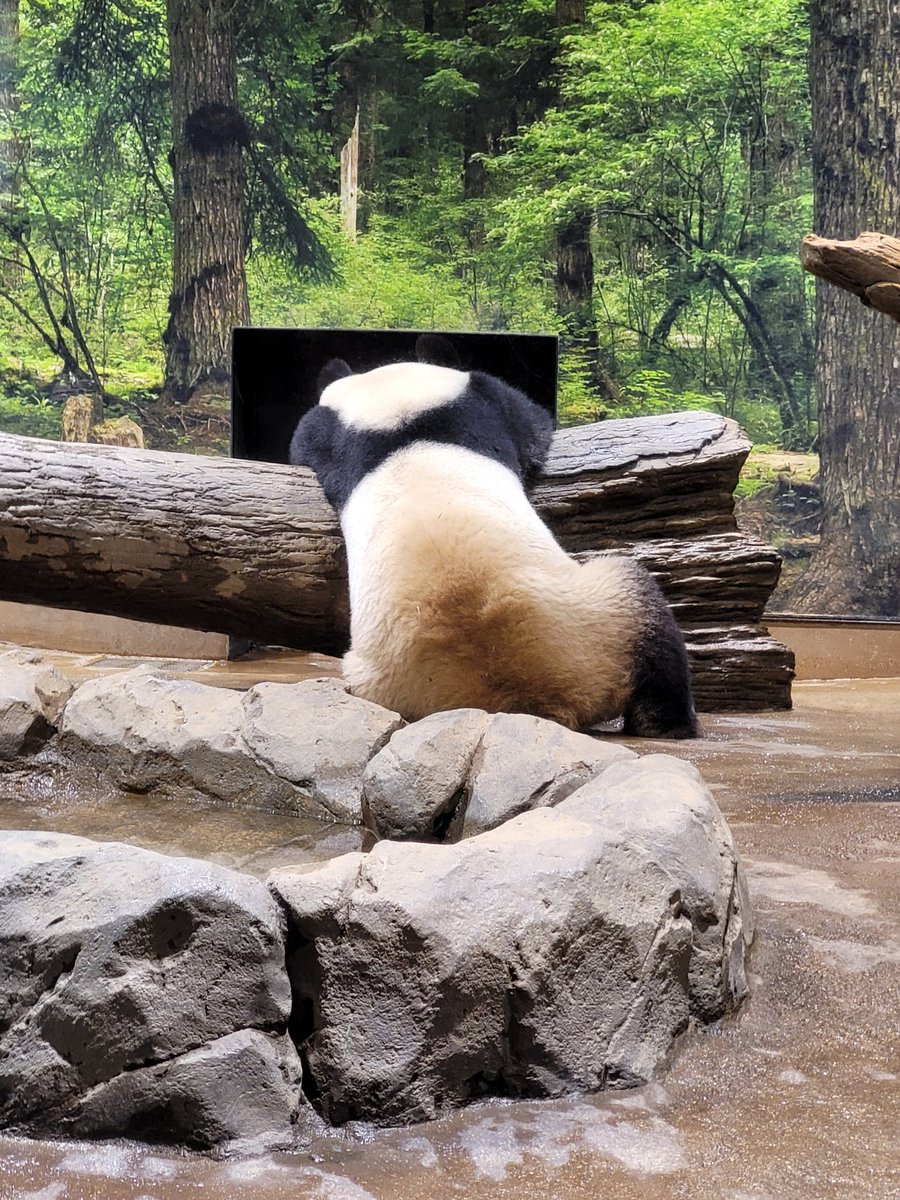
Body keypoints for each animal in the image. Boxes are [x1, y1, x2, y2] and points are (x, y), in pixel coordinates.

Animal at [290, 336, 698, 738]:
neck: (397, 418)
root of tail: (526, 693)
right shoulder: (478, 401)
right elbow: (532, 423)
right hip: (600, 618)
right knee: (647, 612)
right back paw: (671, 723)